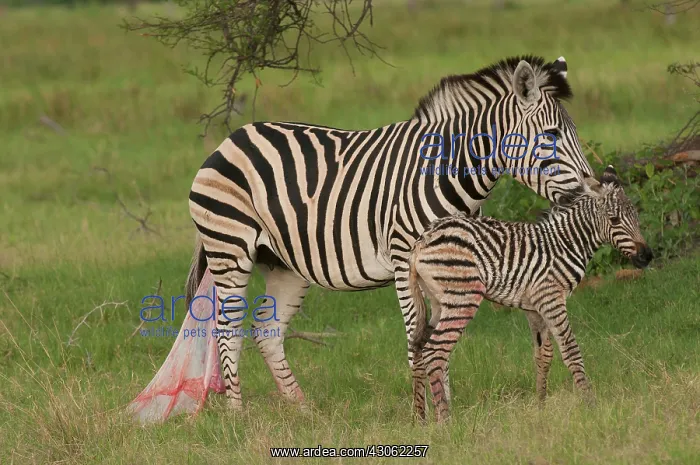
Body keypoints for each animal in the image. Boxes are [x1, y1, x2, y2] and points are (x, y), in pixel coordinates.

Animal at [186, 55, 596, 410]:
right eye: (551, 134)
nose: (588, 191)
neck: (446, 171)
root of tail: (233, 138)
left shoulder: (451, 266)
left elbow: (437, 339)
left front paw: (445, 406)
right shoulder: (405, 262)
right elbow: (418, 339)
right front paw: (426, 414)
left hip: (284, 265)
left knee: (267, 332)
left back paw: (304, 411)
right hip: (231, 249)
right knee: (227, 331)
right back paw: (239, 417)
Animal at [408, 166, 653, 422]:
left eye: (636, 217)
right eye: (614, 220)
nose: (647, 256)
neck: (567, 242)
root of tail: (421, 242)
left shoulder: (534, 307)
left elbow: (543, 355)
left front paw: (541, 407)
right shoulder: (551, 298)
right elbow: (571, 351)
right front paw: (590, 405)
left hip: (438, 302)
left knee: (419, 349)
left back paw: (422, 419)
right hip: (463, 298)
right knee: (435, 351)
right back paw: (446, 420)